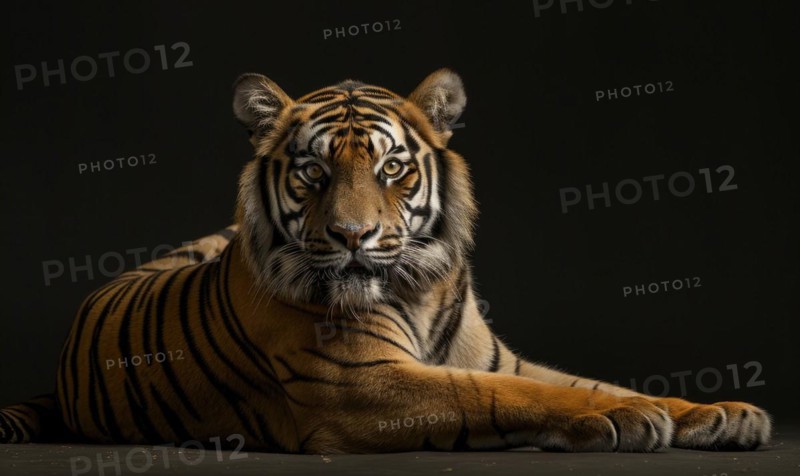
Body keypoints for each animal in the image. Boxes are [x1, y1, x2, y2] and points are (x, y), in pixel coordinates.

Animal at [0, 69, 772, 453]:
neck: (420, 288)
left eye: (392, 167)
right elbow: (509, 397)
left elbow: (585, 382)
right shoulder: (358, 386)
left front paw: (719, 412)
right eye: (312, 172)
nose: (353, 235)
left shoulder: (499, 357)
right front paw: (630, 418)